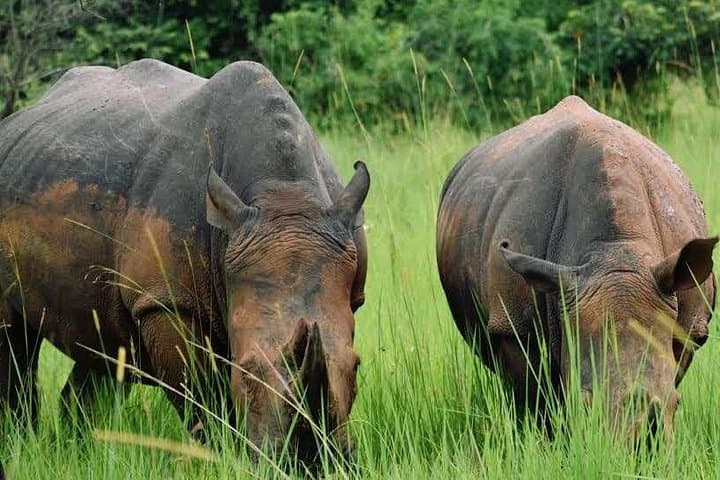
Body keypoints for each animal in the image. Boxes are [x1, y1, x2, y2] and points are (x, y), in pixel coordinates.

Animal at [0, 59, 369, 463]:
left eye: (356, 367)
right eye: (246, 371)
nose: (309, 460)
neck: (285, 199)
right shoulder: (166, 301)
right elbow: (202, 397)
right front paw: (226, 456)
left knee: (105, 342)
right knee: (13, 342)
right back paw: (21, 445)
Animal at [437, 95, 716, 442]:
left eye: (676, 404)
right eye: (584, 402)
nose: (639, 449)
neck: (615, 251)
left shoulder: (689, 322)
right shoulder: (514, 325)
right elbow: (538, 402)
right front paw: (548, 443)